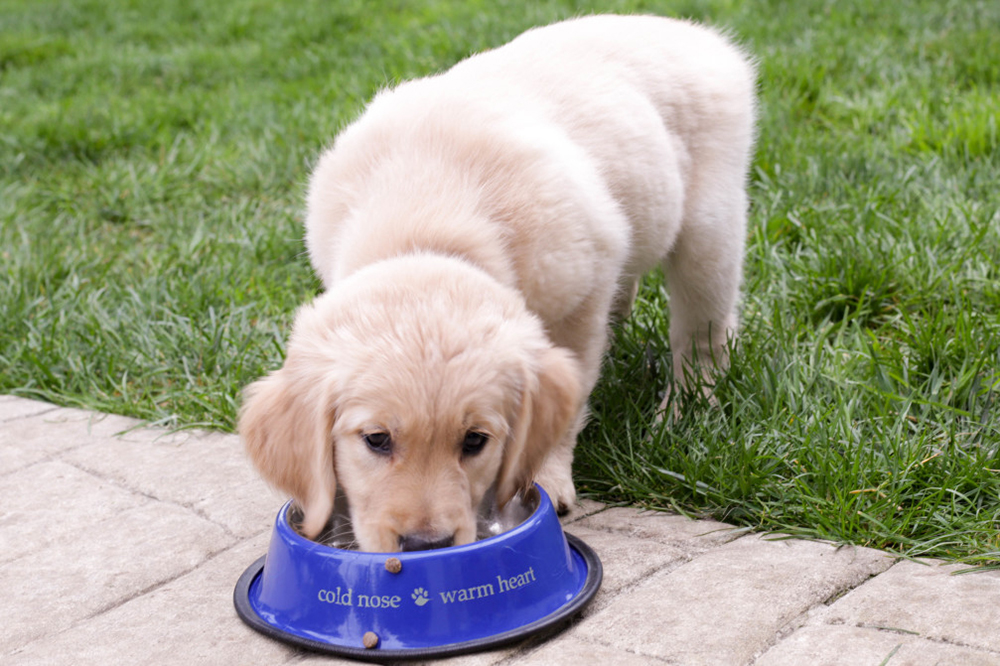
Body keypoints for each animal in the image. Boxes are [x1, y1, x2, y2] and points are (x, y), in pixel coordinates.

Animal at [240, 14, 756, 548]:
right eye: (376, 440)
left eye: (474, 441)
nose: (426, 546)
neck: (424, 221)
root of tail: (689, 30)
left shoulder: (579, 299)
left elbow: (569, 399)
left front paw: (546, 477)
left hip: (709, 226)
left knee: (703, 333)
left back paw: (683, 411)